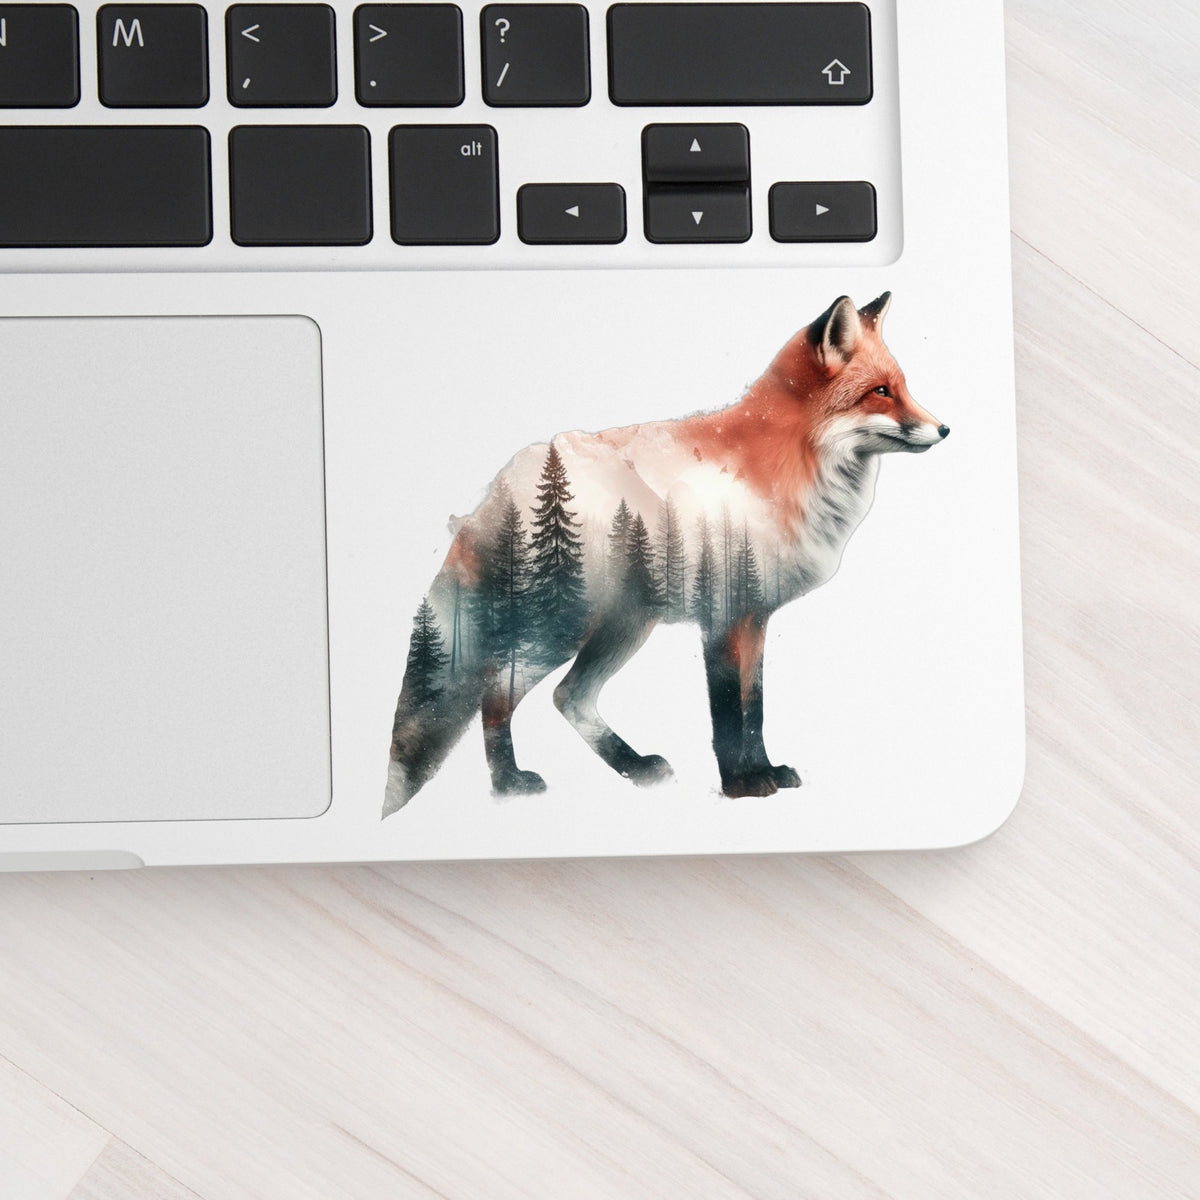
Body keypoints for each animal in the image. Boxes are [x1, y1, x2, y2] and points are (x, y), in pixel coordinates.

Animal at [384, 292, 948, 816]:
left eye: (903, 387)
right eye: (881, 392)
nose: (945, 429)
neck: (787, 470)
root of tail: (502, 484)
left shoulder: (755, 617)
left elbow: (755, 709)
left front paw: (765, 771)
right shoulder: (723, 615)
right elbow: (729, 712)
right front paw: (741, 785)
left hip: (623, 627)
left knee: (569, 697)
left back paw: (632, 767)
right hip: (560, 626)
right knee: (496, 694)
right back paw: (508, 784)